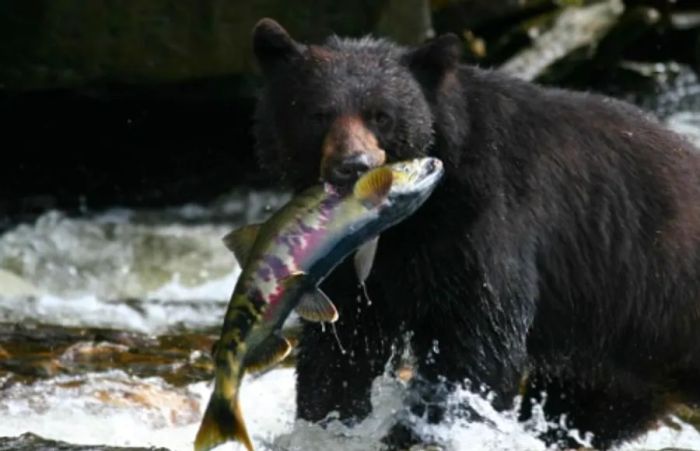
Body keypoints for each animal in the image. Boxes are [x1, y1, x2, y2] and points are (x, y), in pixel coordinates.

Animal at [250, 16, 700, 448]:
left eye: (382, 115)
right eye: (318, 114)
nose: (353, 165)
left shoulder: (486, 218)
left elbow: (477, 337)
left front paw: (422, 430)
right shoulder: (345, 248)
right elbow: (342, 342)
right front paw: (327, 424)